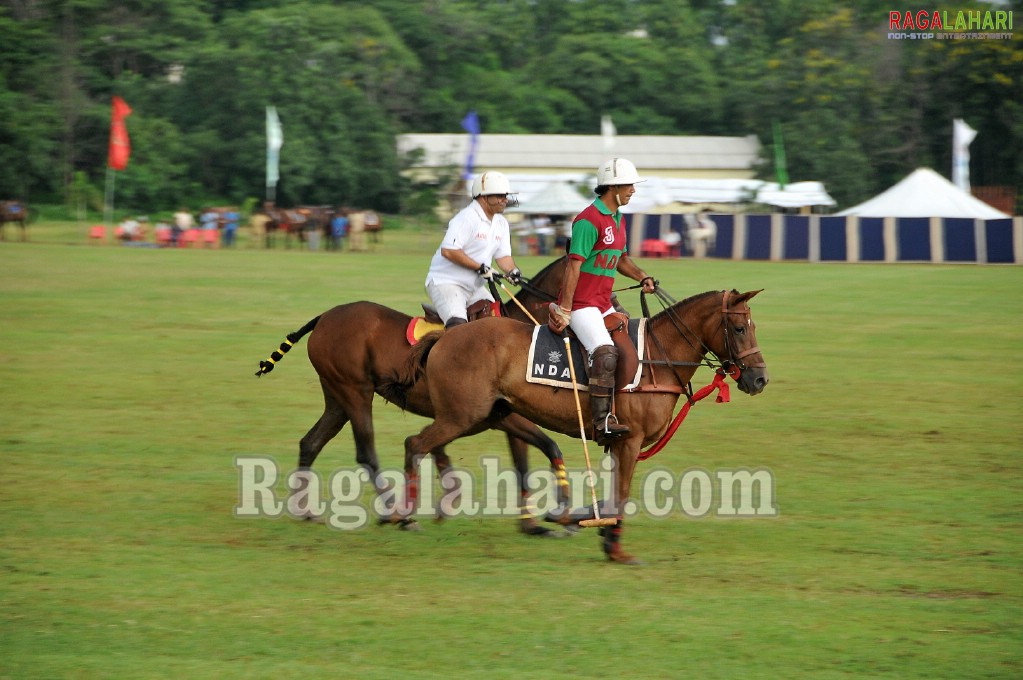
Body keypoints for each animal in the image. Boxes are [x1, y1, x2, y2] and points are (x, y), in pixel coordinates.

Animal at [252, 257, 572, 531]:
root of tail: (323, 318)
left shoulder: (495, 413)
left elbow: (530, 455)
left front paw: (534, 525)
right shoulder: (491, 413)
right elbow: (526, 455)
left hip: (336, 398)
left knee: (311, 442)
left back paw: (306, 511)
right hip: (355, 391)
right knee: (366, 452)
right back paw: (396, 513)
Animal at [388, 288, 769, 560]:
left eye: (753, 327)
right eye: (739, 328)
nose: (760, 379)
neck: (658, 358)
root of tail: (444, 336)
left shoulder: (618, 443)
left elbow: (614, 495)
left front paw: (587, 525)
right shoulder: (629, 439)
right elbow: (622, 495)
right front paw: (614, 548)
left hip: (485, 415)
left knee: (423, 443)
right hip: (463, 415)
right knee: (415, 444)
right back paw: (404, 516)